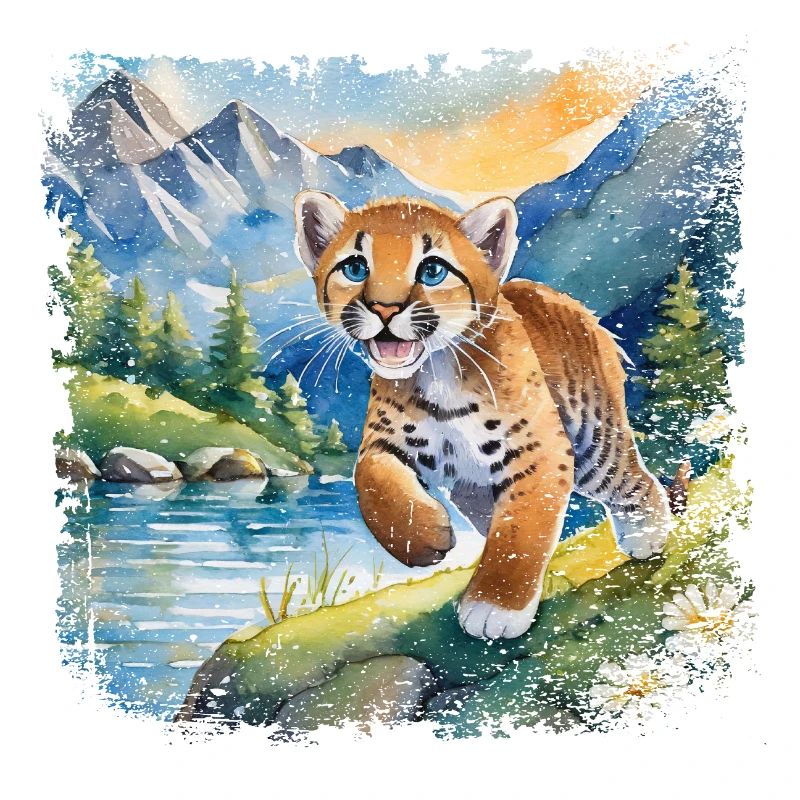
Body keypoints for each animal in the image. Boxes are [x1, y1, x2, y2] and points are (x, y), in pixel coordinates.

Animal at [293, 190, 673, 640]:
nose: (385, 309)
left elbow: (522, 529)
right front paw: (424, 538)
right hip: (474, 484)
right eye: (355, 267)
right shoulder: (384, 442)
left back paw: (647, 536)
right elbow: (372, 482)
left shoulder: (540, 452)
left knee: (632, 479)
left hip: (593, 443)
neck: (438, 371)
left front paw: (496, 605)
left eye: (432, 270)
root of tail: (550, 294)